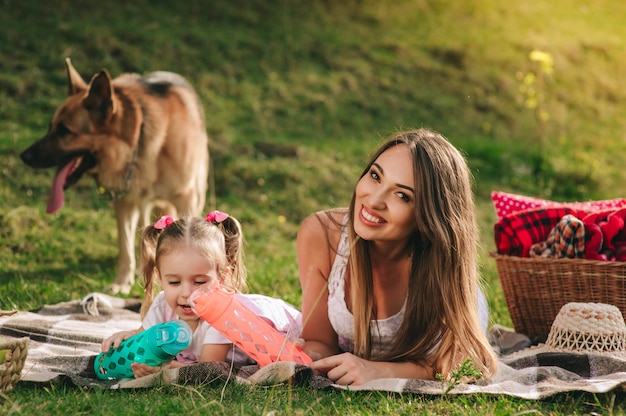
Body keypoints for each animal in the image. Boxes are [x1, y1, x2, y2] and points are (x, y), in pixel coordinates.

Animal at [20, 57, 208, 294]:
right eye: (50, 127)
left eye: (64, 131)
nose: (24, 156)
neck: (138, 141)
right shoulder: (124, 204)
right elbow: (125, 246)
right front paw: (122, 283)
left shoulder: (185, 197)